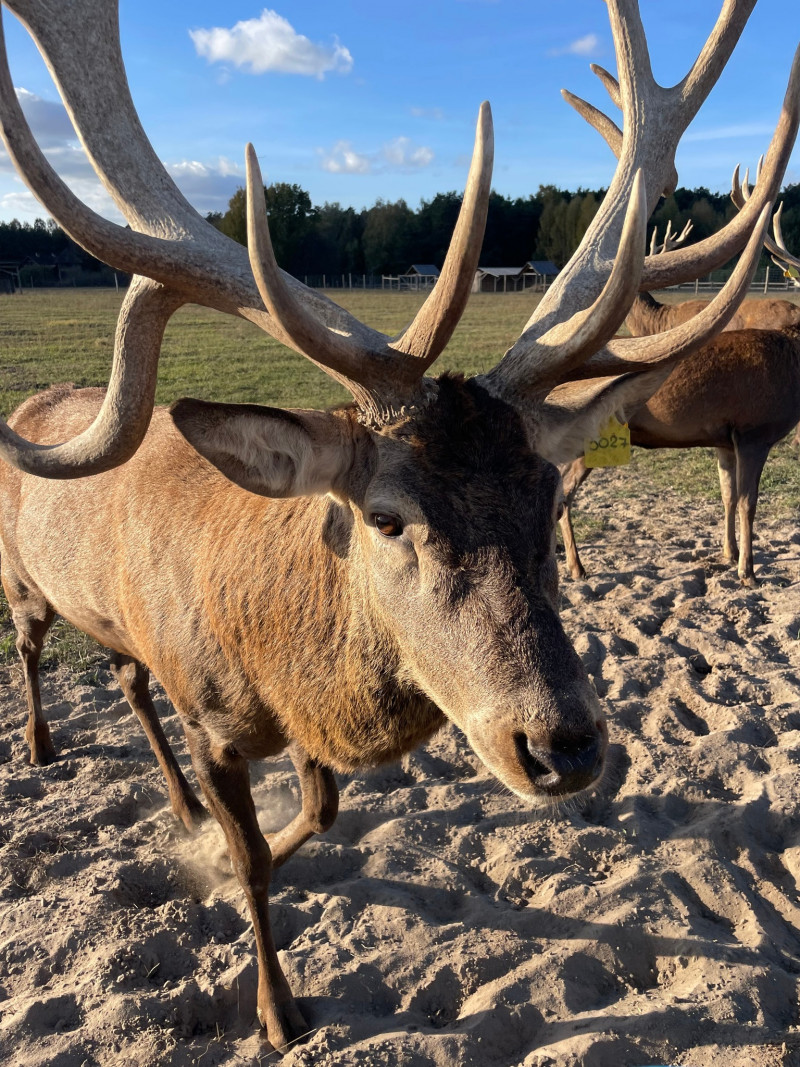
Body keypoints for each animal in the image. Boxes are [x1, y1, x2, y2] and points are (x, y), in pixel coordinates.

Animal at [0, 0, 797, 1049]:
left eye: (545, 493)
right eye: (384, 516)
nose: (566, 743)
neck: (274, 655)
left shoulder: (302, 727)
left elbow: (320, 814)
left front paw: (241, 847)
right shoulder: (209, 713)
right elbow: (251, 859)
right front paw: (278, 1006)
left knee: (126, 675)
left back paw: (171, 802)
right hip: (22, 582)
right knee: (38, 649)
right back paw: (45, 747)